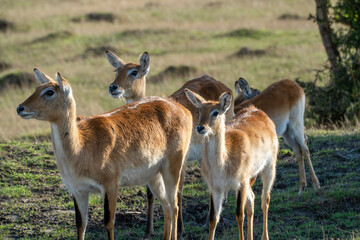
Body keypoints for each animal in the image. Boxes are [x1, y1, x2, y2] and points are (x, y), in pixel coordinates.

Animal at [16, 68, 194, 240]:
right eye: (36, 88)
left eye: (49, 91)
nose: (20, 108)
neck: (81, 149)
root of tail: (182, 109)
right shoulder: (78, 190)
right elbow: (80, 224)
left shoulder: (110, 185)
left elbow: (108, 222)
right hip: (153, 175)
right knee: (166, 206)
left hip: (173, 167)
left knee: (174, 205)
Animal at [104, 50, 235, 238]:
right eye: (117, 70)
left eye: (134, 72)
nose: (113, 87)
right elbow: (150, 193)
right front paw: (148, 231)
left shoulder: (181, 158)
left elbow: (178, 191)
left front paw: (180, 229)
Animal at [186, 88, 278, 240]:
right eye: (199, 111)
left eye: (215, 112)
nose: (200, 127)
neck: (223, 163)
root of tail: (256, 110)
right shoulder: (215, 187)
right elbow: (213, 218)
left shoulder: (241, 183)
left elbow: (239, 215)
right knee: (251, 201)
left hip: (269, 167)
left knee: (265, 199)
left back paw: (265, 236)